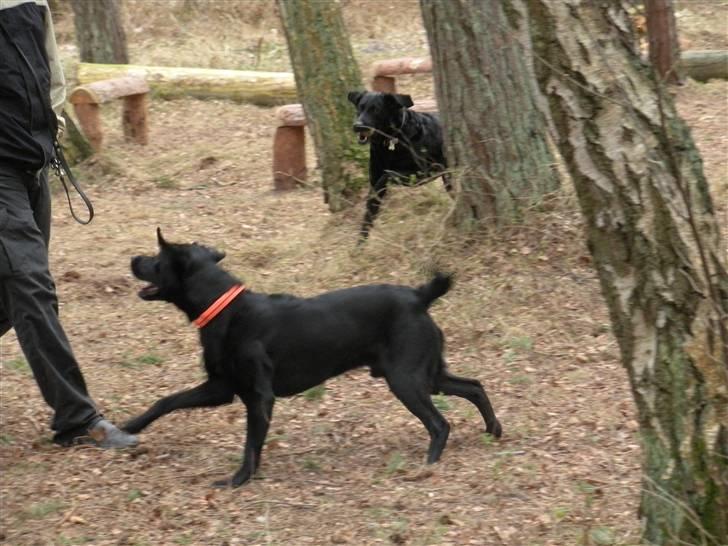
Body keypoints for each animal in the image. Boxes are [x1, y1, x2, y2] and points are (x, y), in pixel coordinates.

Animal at [125, 227, 500, 486]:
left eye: (156, 260)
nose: (132, 259)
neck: (225, 309)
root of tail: (419, 297)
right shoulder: (221, 387)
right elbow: (166, 401)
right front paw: (130, 426)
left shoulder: (259, 397)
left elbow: (250, 444)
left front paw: (238, 479)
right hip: (428, 375)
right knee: (475, 386)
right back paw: (493, 430)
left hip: (406, 380)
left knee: (440, 423)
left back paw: (429, 464)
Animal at [346, 90, 450, 239]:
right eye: (360, 107)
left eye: (375, 110)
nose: (357, 126)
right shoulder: (375, 177)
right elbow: (368, 216)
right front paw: (359, 244)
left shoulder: (420, 173)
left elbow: (387, 175)